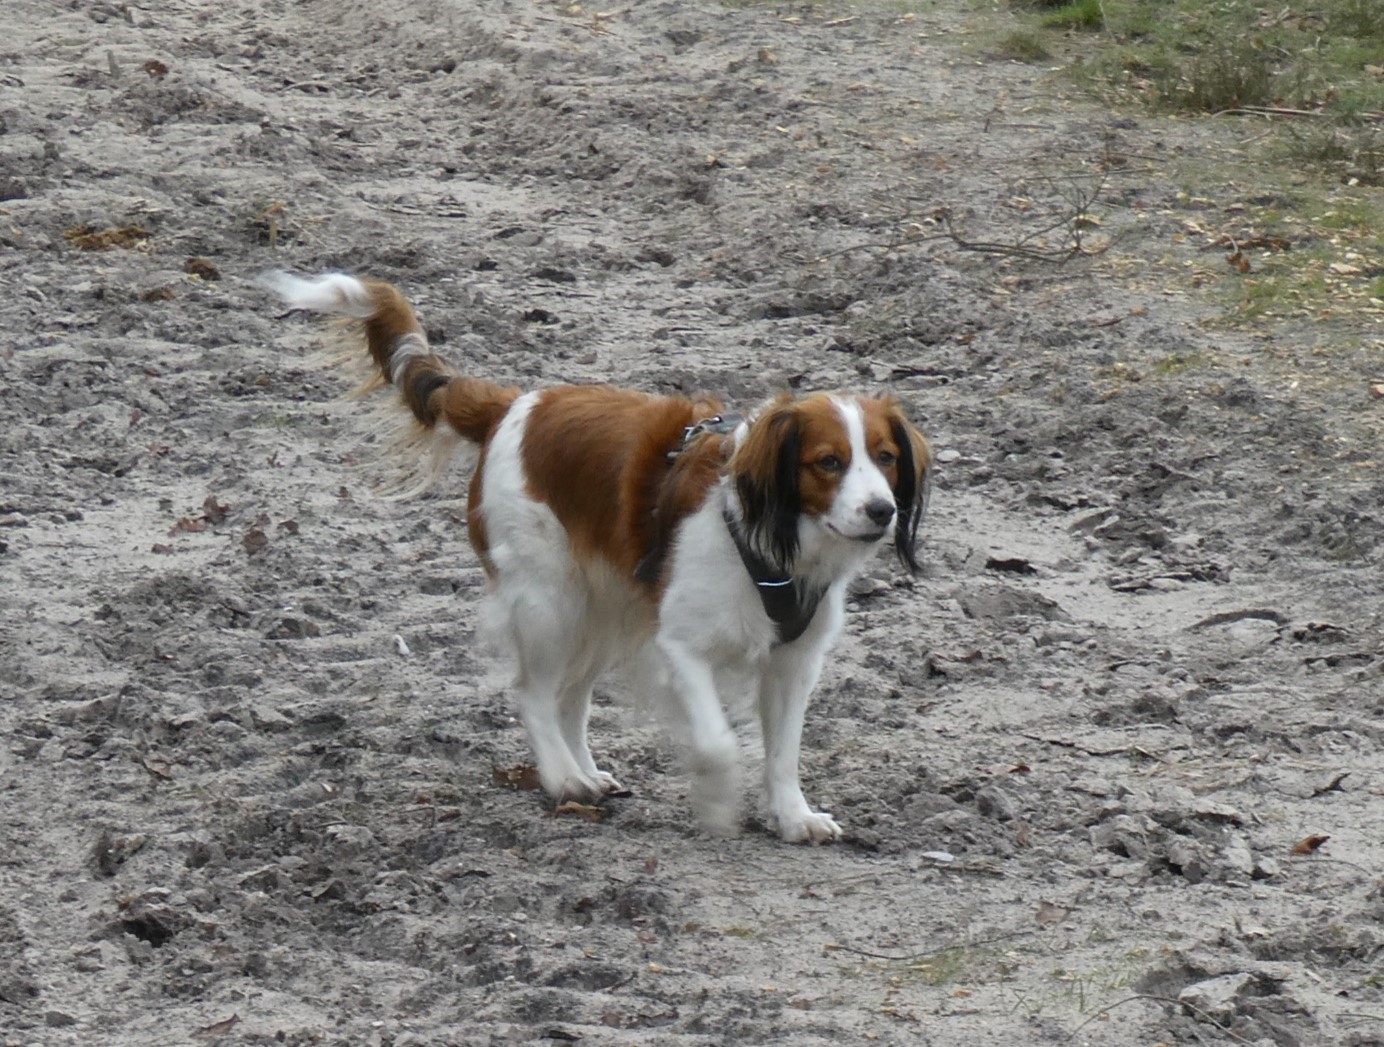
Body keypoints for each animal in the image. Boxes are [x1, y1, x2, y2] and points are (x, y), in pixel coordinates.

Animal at [261, 269, 930, 840]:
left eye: (885, 458)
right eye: (829, 462)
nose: (882, 511)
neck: (775, 541)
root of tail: (514, 404)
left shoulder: (795, 661)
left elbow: (785, 753)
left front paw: (793, 817)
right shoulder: (680, 646)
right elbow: (716, 741)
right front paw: (718, 804)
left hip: (606, 609)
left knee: (571, 696)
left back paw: (584, 770)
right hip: (549, 601)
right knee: (534, 693)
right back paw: (563, 779)